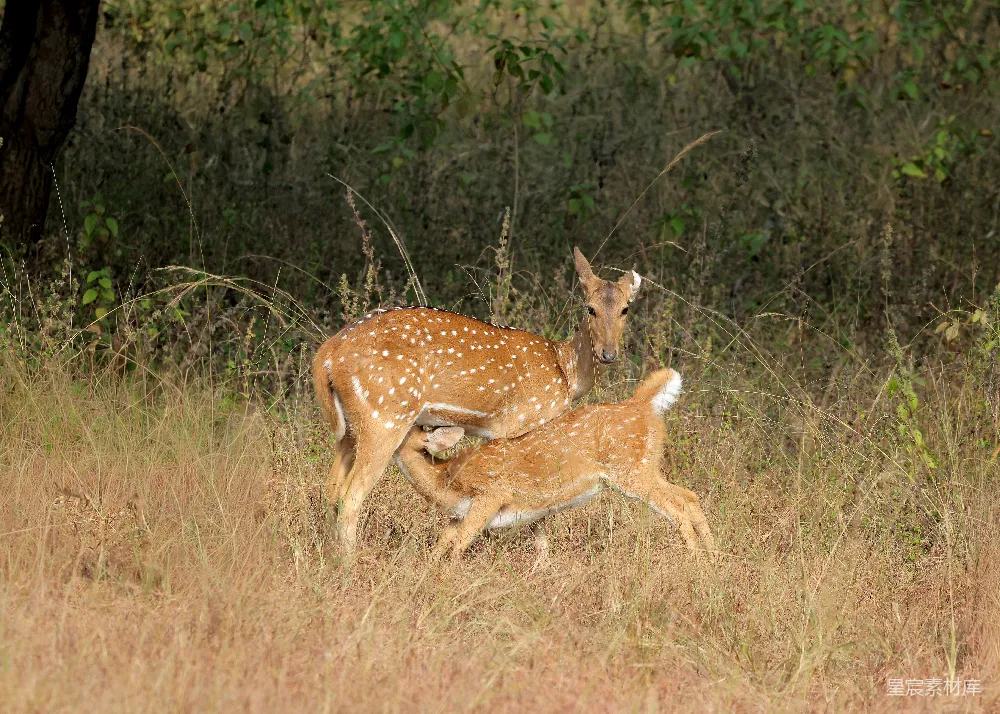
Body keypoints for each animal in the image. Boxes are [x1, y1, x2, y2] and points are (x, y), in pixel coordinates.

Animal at [313, 247, 642, 551]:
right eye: (590, 308)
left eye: (625, 309)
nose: (608, 353)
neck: (567, 373)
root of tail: (327, 354)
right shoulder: (519, 424)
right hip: (384, 417)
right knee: (351, 495)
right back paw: (349, 562)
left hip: (350, 427)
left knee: (331, 488)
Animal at [393, 368, 715, 559]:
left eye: (404, 428)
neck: (445, 480)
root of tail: (642, 405)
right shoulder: (458, 514)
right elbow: (441, 544)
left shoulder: (492, 493)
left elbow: (459, 543)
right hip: (646, 467)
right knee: (690, 496)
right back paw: (714, 556)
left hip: (629, 471)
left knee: (677, 506)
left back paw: (696, 560)